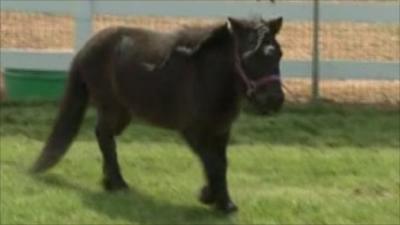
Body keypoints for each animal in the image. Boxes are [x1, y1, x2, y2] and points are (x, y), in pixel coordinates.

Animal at [32, 16, 286, 214]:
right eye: (249, 56)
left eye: (279, 54)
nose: (274, 100)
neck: (207, 76)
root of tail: (86, 48)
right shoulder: (193, 131)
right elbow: (213, 163)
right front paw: (217, 201)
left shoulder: (221, 130)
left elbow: (220, 163)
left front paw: (215, 198)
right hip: (111, 107)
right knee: (104, 137)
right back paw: (118, 183)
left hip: (122, 112)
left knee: (104, 135)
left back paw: (109, 182)